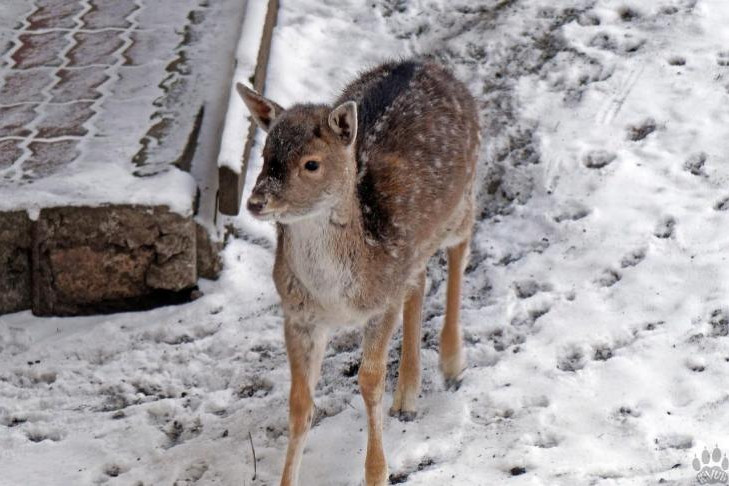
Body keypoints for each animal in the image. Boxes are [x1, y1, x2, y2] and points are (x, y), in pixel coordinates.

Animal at [236, 58, 480, 484]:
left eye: (311, 163)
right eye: (265, 154)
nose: (256, 201)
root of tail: (425, 63)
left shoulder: (382, 303)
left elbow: (369, 380)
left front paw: (377, 472)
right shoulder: (297, 313)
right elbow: (300, 403)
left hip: (463, 196)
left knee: (460, 247)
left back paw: (452, 364)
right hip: (412, 252)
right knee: (420, 280)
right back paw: (407, 397)